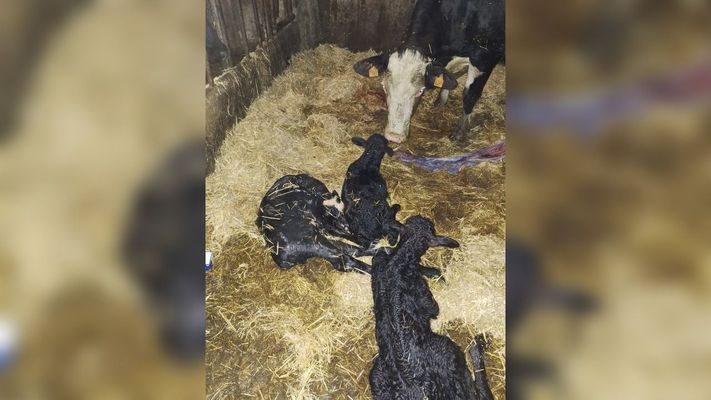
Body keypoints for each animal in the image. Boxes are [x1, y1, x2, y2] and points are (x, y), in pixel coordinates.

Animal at [353, 0, 505, 143]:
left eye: (421, 91)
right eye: (384, 87)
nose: (394, 137)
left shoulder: (485, 56)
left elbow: (470, 95)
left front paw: (459, 133)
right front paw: (440, 102)